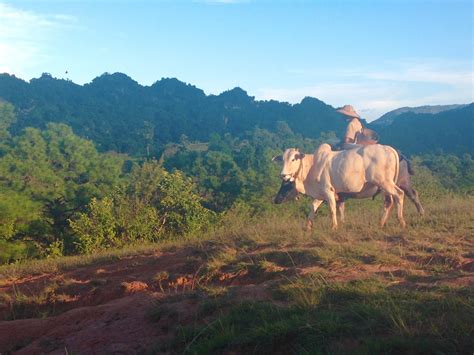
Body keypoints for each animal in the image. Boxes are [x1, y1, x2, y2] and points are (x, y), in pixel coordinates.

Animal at [274, 145, 408, 231]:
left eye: (293, 159)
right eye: (282, 160)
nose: (283, 175)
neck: (312, 166)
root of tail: (390, 149)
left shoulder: (328, 191)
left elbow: (332, 209)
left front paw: (334, 226)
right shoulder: (321, 194)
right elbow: (313, 207)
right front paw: (308, 226)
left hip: (385, 183)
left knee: (399, 194)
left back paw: (401, 222)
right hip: (384, 187)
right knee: (388, 202)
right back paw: (381, 223)